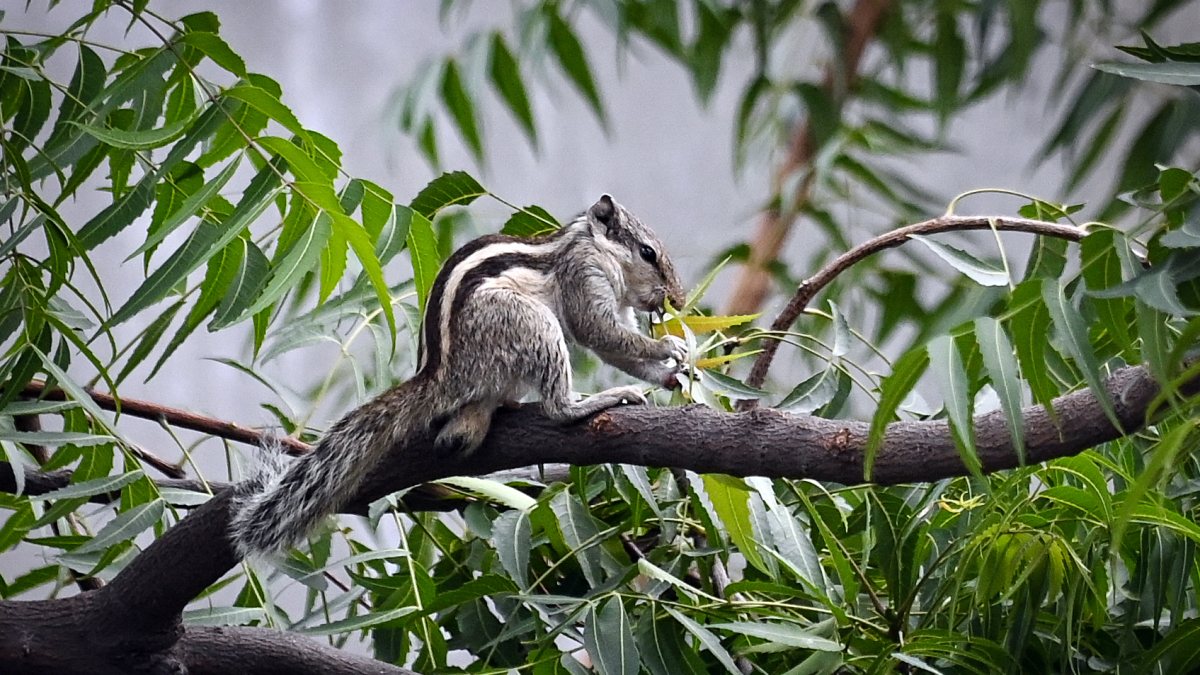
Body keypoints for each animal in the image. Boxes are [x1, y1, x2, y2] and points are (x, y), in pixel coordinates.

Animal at [230, 195, 687, 558]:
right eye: (648, 253)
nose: (679, 300)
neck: (590, 244)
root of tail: (440, 377)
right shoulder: (584, 276)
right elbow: (601, 333)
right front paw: (669, 348)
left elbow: (618, 346)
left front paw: (669, 375)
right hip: (529, 323)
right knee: (557, 407)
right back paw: (596, 400)